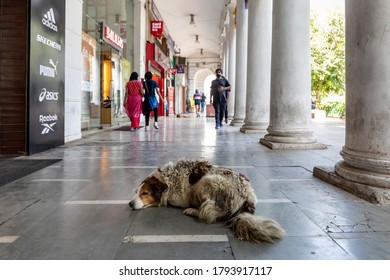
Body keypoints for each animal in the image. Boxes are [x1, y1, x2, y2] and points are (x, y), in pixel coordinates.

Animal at [129, 160, 284, 243]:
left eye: (144, 193)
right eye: (136, 192)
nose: (130, 204)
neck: (167, 180)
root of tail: (247, 198)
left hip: (206, 182)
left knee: (210, 214)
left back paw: (193, 210)